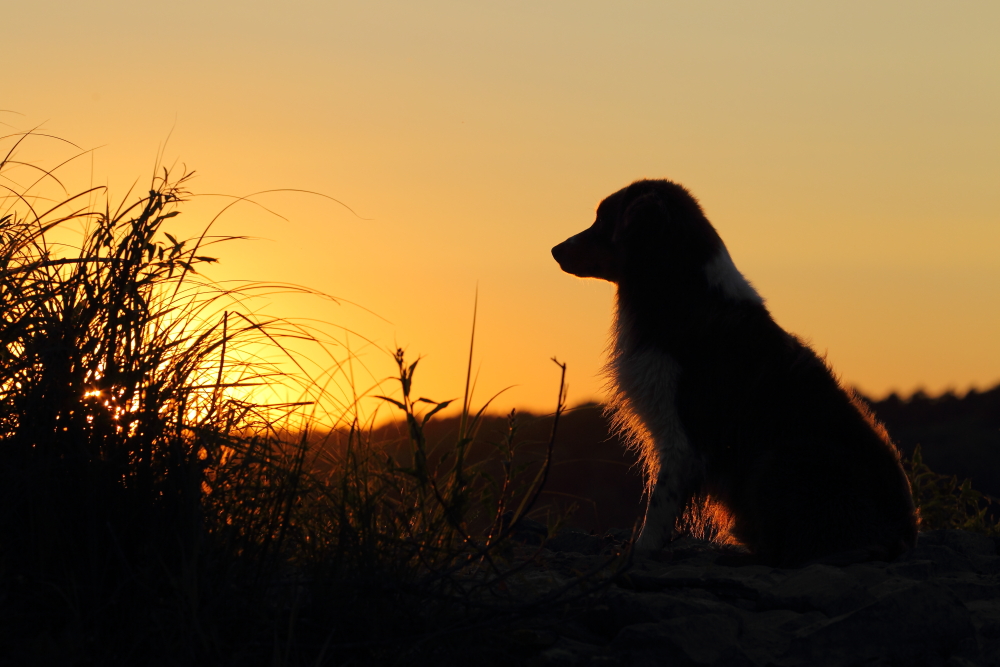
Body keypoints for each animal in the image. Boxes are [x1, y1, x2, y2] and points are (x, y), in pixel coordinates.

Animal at [552, 180, 916, 568]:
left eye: (604, 219)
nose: (554, 250)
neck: (677, 290)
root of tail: (902, 537)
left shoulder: (682, 436)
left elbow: (659, 505)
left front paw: (638, 552)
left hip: (779, 457)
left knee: (787, 554)